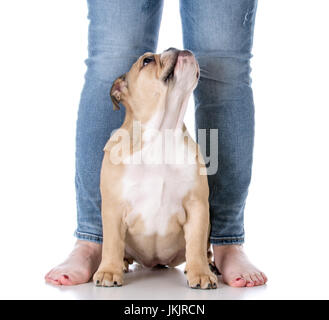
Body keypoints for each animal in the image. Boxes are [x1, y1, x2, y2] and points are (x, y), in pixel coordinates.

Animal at [92, 47, 218, 290]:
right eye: (147, 60)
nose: (174, 47)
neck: (162, 134)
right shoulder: (113, 208)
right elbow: (112, 242)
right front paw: (109, 271)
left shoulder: (197, 205)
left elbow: (196, 243)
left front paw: (200, 273)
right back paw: (122, 264)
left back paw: (205, 266)